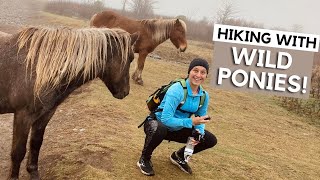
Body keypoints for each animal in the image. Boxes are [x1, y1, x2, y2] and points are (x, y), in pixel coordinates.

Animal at [0, 26, 138, 179]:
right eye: (131, 58)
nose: (125, 92)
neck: (39, 66)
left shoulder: (45, 114)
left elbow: (36, 143)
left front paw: (34, 172)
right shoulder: (23, 116)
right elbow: (18, 152)